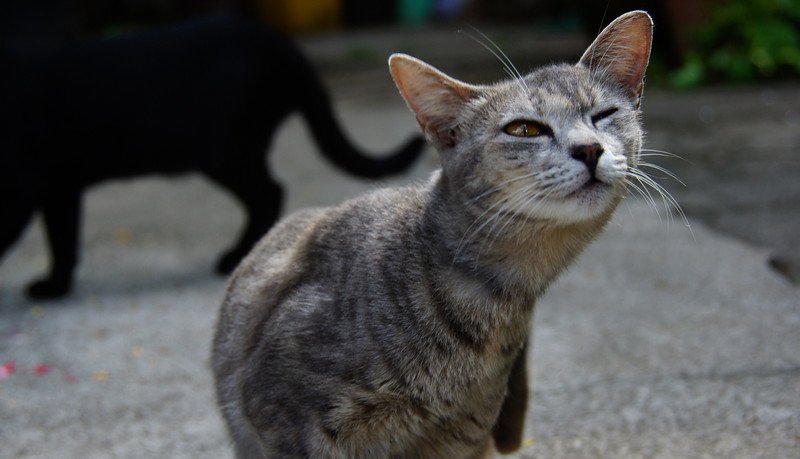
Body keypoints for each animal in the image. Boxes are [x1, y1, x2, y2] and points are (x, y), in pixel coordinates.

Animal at [1, 15, 424, 298]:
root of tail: (279, 43)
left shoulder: (23, 183)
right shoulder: (59, 185)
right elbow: (62, 236)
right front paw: (57, 282)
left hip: (225, 152)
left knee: (269, 192)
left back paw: (234, 257)